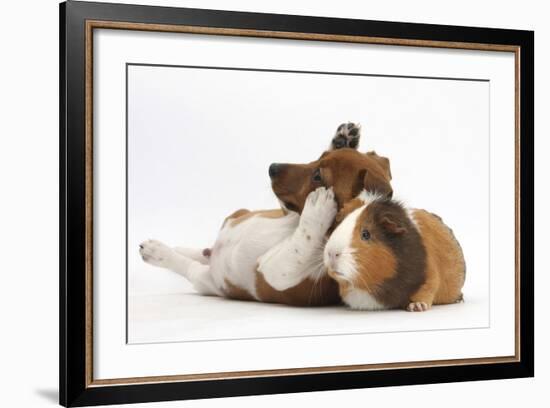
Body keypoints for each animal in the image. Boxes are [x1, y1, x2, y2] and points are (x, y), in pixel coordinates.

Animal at [140, 123, 394, 306]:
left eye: (318, 176)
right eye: (318, 157)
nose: (272, 167)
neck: (293, 226)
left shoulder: (275, 271)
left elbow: (303, 240)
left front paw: (319, 208)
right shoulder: (286, 212)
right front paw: (343, 139)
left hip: (206, 280)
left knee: (187, 266)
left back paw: (157, 251)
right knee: (198, 252)